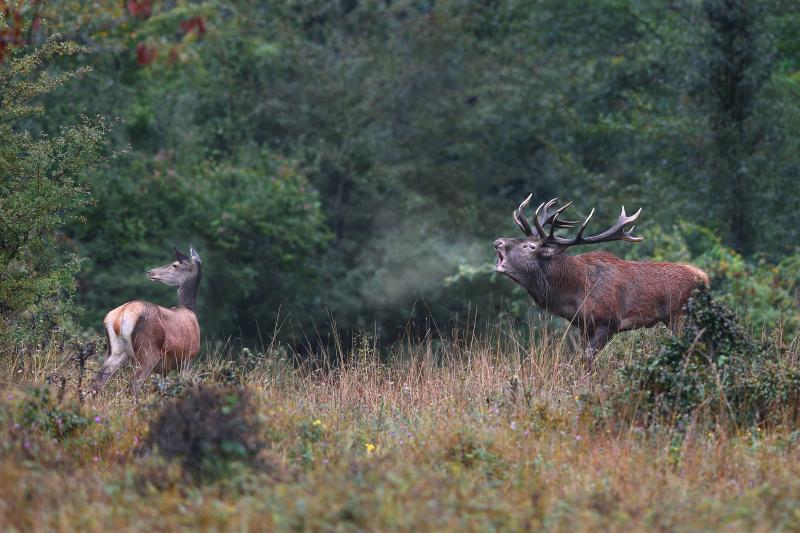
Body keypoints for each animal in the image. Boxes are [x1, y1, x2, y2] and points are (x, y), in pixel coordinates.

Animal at [91, 247, 203, 392]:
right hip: (148, 351)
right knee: (133, 385)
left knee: (98, 380)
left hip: (115, 350)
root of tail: (121, 315)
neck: (189, 310)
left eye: (175, 265)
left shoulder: (165, 369)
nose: (151, 271)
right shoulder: (188, 358)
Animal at [494, 197, 708, 360]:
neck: (574, 292)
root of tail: (704, 278)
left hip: (681, 315)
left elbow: (587, 359)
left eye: (530, 246)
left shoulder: (609, 320)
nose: (497, 242)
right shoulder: (583, 325)